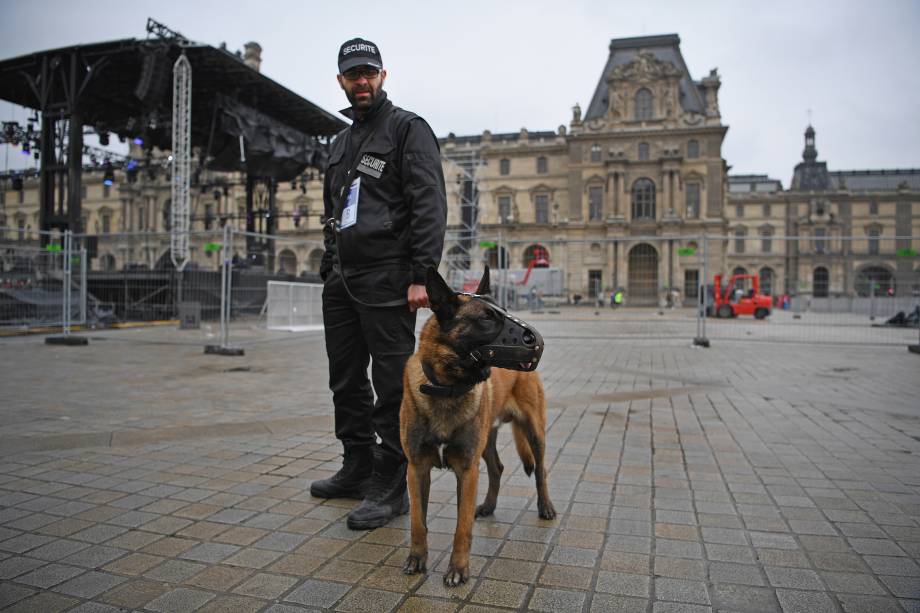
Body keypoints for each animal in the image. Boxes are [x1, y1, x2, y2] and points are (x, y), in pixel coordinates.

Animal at [400, 266, 552, 584]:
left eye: (505, 310)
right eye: (486, 318)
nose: (540, 341)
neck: (446, 389)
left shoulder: (467, 471)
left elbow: (462, 526)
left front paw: (458, 570)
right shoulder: (416, 469)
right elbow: (418, 522)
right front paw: (416, 559)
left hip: (534, 432)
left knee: (540, 470)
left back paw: (546, 507)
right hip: (486, 441)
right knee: (497, 468)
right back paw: (490, 505)